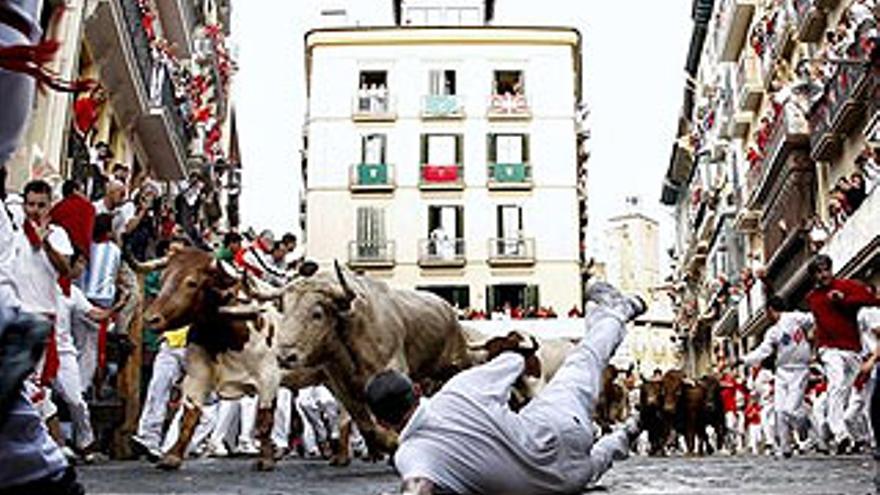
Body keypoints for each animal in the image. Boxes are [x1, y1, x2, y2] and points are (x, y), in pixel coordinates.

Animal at [276, 264, 474, 464]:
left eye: (317, 314)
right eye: (284, 311)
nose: (285, 356)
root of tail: (447, 308)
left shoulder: (392, 373)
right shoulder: (344, 390)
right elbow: (367, 427)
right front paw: (389, 446)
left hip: (457, 362)